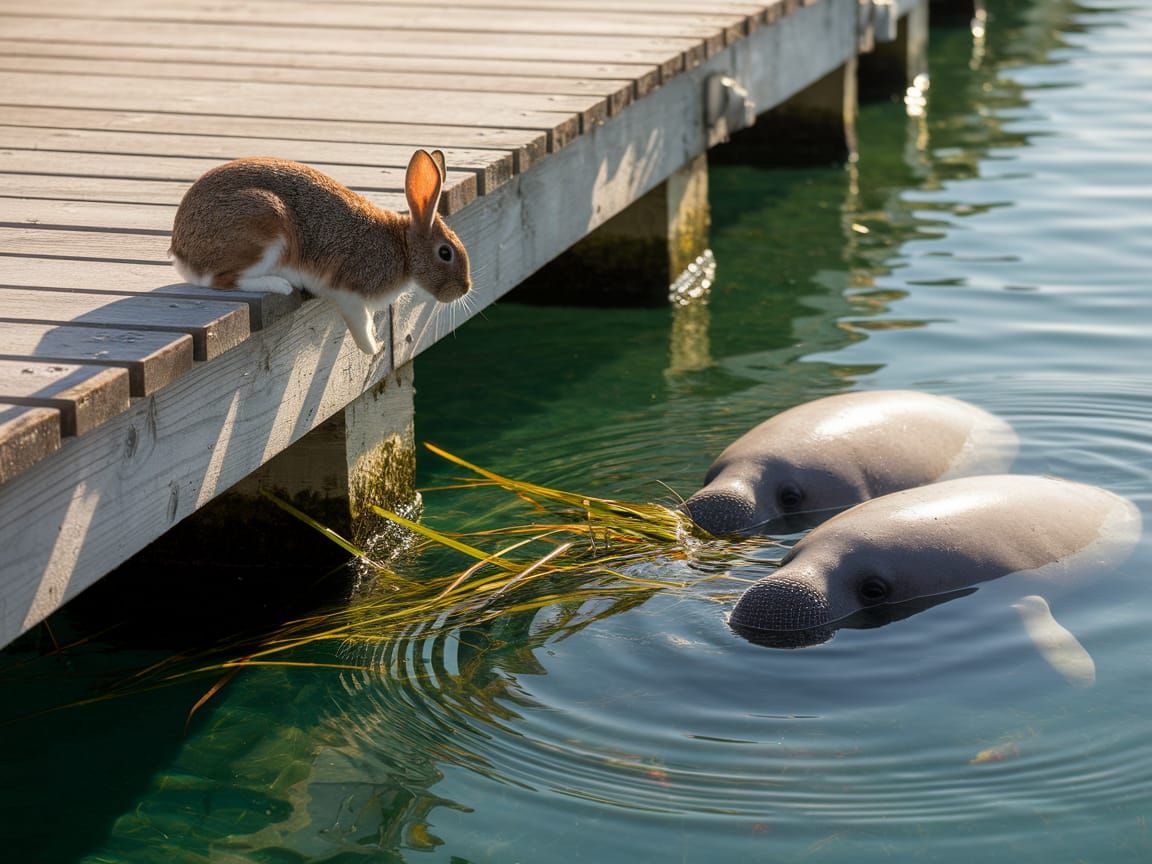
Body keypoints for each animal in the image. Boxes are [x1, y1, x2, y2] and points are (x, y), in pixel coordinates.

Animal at [169, 149, 471, 355]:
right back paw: (279, 284)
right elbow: (360, 323)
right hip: (265, 225)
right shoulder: (350, 293)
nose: (464, 289)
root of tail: (182, 250)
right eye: (445, 253)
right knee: (219, 279)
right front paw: (373, 348)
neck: (404, 249)